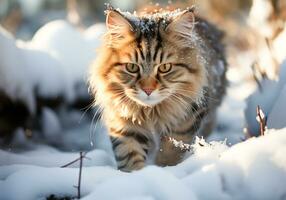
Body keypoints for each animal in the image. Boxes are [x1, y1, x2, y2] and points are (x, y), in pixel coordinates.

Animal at [88, 5, 227, 172]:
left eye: (165, 68)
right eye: (132, 67)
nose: (148, 90)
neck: (152, 113)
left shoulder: (187, 120)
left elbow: (171, 150)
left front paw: (165, 170)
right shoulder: (124, 123)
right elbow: (130, 155)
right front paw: (138, 175)